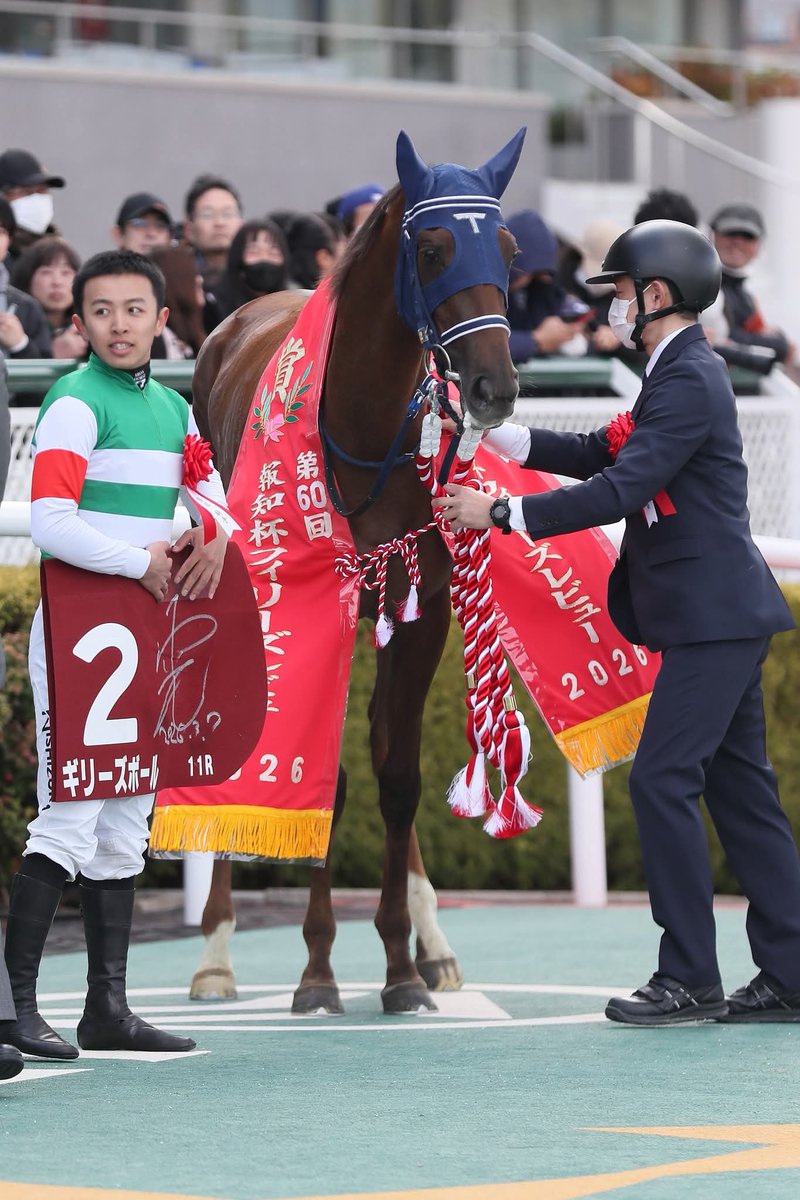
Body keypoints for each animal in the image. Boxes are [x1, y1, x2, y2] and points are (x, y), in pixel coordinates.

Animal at [186, 128, 526, 1014]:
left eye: (509, 249)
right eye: (434, 248)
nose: (495, 386)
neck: (365, 428)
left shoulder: (424, 605)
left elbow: (397, 775)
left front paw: (402, 965)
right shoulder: (304, 607)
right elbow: (321, 779)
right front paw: (316, 969)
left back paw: (433, 943)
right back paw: (216, 952)